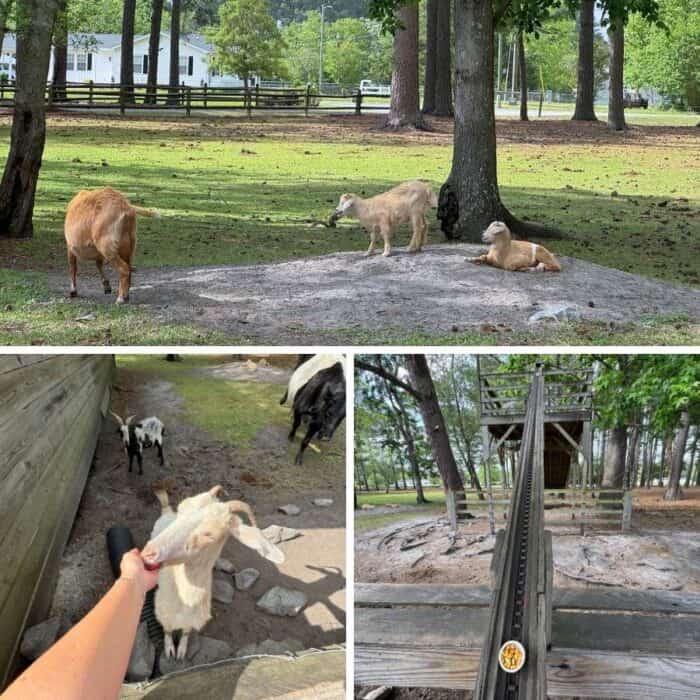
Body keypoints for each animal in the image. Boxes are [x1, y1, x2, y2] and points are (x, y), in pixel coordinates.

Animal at [141, 486, 284, 660]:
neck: (185, 603)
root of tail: (167, 511)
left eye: (208, 534)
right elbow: (167, 631)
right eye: (181, 509)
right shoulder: (162, 613)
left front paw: (181, 651)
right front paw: (169, 650)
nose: (149, 553)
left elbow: (186, 633)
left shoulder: (192, 620)